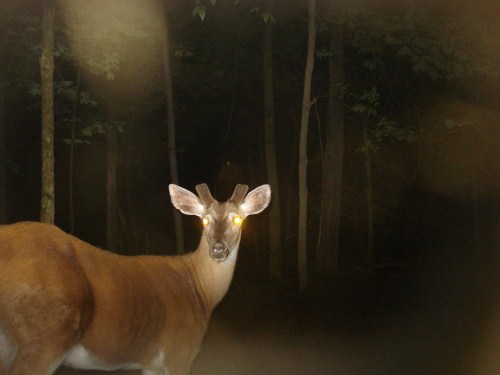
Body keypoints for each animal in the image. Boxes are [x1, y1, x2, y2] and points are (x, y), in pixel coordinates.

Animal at [0, 184, 270, 375]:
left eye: (238, 219)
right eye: (204, 220)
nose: (218, 249)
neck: (201, 292)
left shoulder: (151, 363)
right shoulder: (179, 350)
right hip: (44, 336)